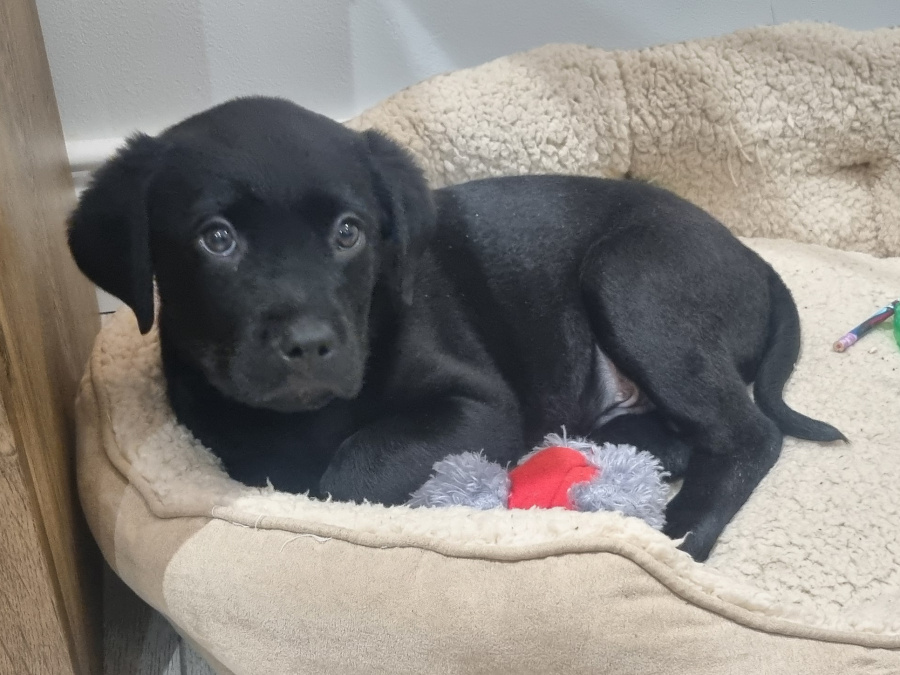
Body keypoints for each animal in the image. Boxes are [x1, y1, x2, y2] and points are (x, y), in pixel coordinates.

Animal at [70, 95, 844, 560]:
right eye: (217, 239)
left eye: (349, 232)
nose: (311, 346)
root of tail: (754, 259)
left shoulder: (479, 405)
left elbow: (350, 468)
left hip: (634, 281)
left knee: (748, 433)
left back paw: (679, 530)